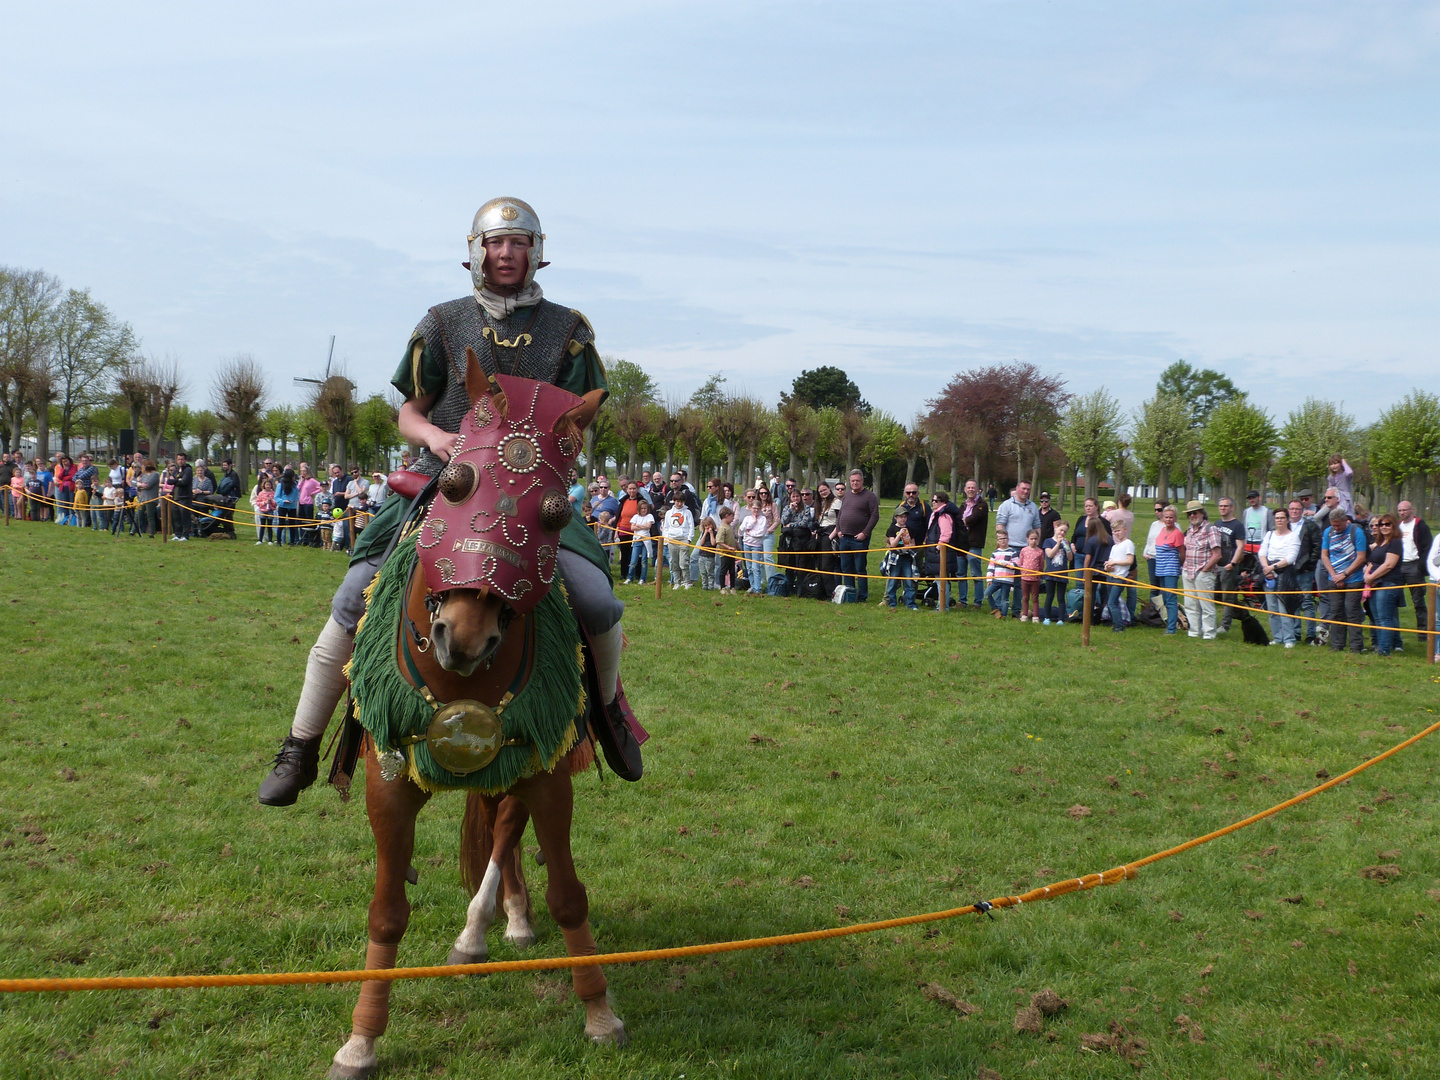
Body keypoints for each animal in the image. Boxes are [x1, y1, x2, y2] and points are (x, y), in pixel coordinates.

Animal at [329, 355, 627, 1080]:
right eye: (455, 483)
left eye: (555, 512)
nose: (463, 638)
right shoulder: (387, 783)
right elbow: (386, 914)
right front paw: (361, 1040)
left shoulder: (547, 771)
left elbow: (569, 893)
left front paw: (599, 1012)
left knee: (504, 832)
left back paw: (491, 923)